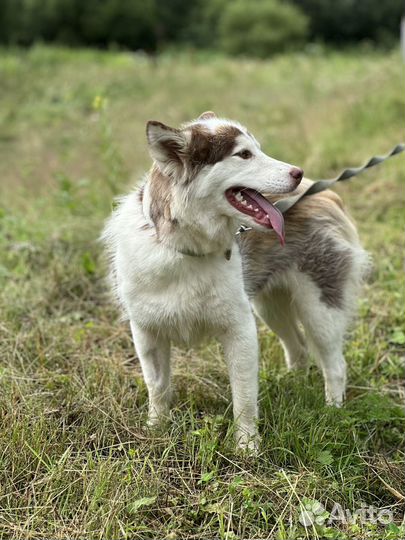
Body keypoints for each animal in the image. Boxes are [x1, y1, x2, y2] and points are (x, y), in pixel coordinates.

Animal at [102, 112, 370, 450]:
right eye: (243, 154)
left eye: (258, 149)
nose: (298, 172)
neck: (188, 250)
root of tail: (322, 191)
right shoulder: (147, 332)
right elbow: (158, 386)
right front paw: (156, 429)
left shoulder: (240, 329)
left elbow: (243, 396)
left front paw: (247, 446)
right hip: (269, 308)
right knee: (298, 349)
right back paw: (294, 386)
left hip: (319, 308)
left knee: (335, 366)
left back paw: (332, 411)